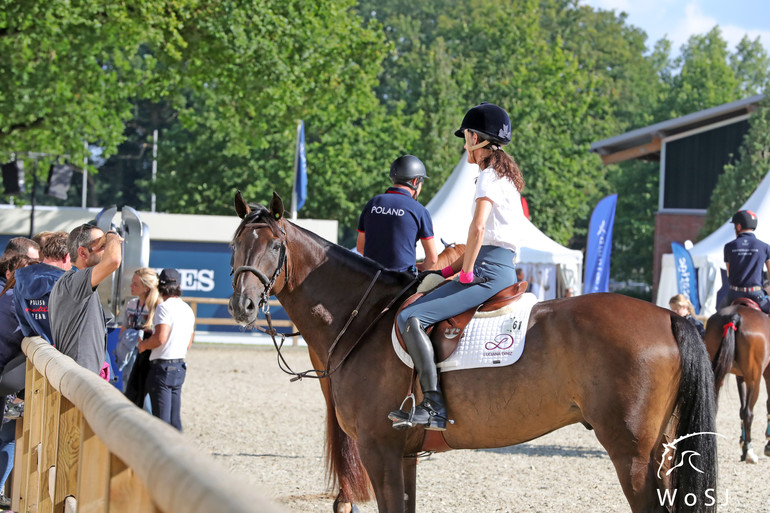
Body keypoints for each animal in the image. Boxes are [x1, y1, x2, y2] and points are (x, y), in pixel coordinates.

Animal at [226, 193, 712, 512]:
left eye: (275, 246)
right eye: (235, 245)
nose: (242, 306)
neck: (365, 318)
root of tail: (668, 316)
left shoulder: (379, 450)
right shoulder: (401, 456)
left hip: (632, 454)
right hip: (662, 451)